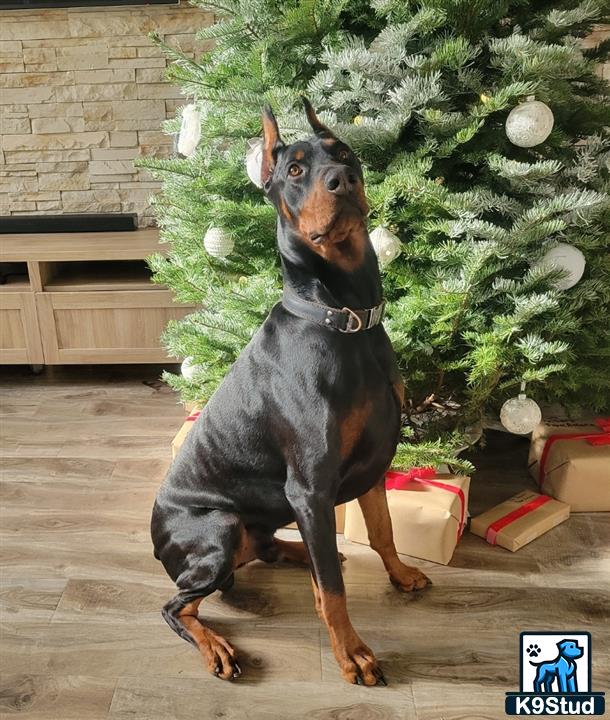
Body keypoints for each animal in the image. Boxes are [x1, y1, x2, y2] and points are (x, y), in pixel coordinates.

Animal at [150, 95, 430, 688]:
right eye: (296, 171)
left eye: (343, 151)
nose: (343, 180)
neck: (345, 319)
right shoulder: (310, 484)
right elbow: (334, 594)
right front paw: (353, 655)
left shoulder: (375, 459)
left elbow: (384, 531)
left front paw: (400, 574)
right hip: (218, 530)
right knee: (177, 605)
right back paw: (217, 647)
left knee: (271, 552)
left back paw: (298, 552)